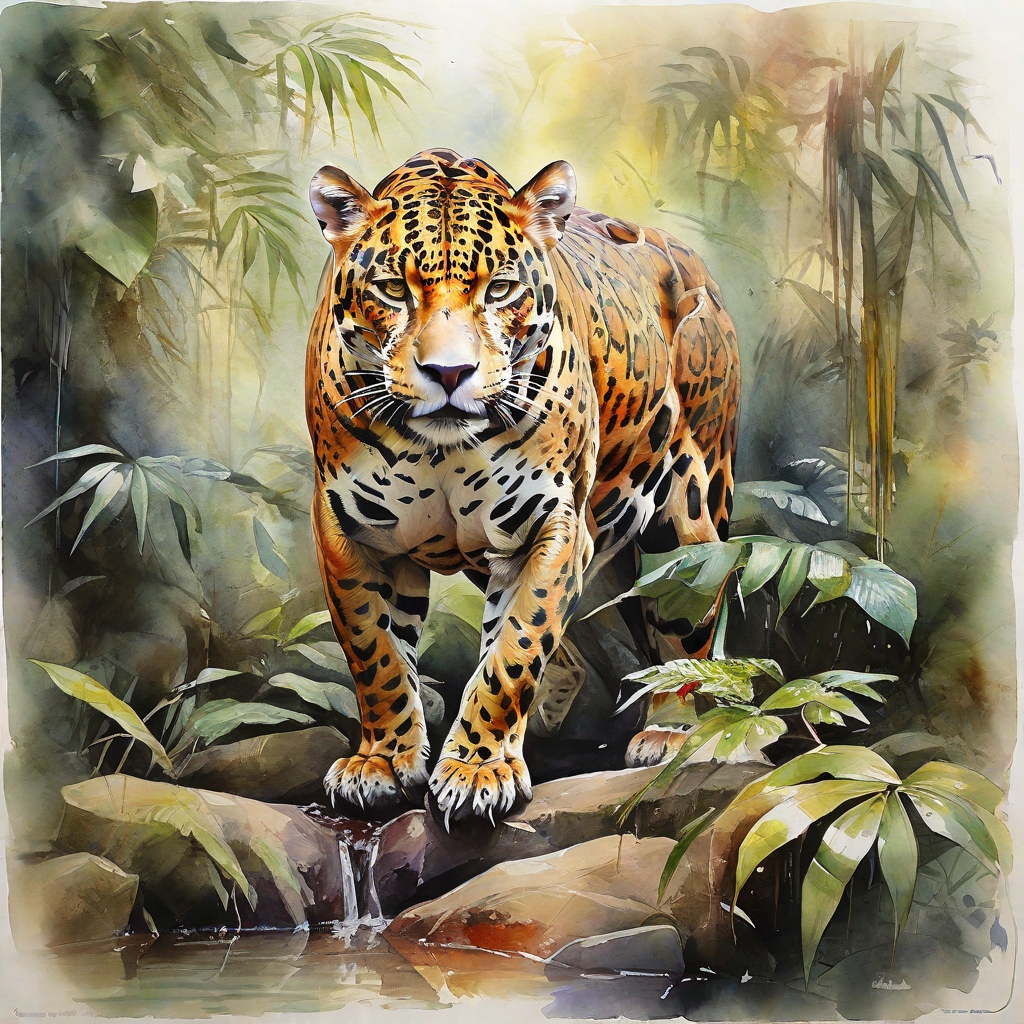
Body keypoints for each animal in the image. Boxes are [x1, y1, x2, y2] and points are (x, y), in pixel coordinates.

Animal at [305, 148, 740, 824]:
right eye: (394, 290)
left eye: (500, 289)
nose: (449, 373)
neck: (441, 449)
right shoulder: (351, 534)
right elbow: (375, 654)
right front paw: (382, 762)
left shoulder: (551, 528)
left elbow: (513, 653)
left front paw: (477, 770)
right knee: (571, 661)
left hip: (689, 521)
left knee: (681, 638)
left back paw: (669, 732)